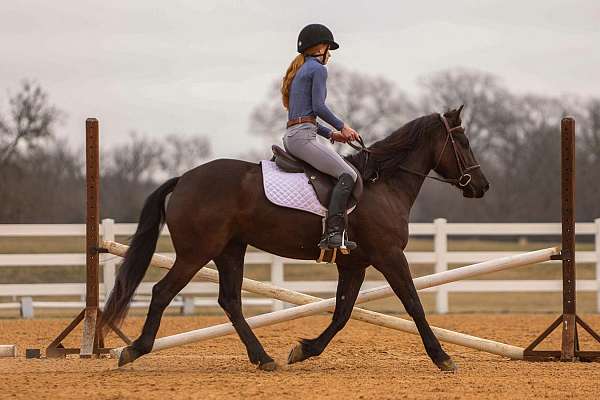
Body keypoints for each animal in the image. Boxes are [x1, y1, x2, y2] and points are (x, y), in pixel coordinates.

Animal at [101, 105, 490, 372]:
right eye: (463, 141)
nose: (482, 186)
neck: (383, 185)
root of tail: (183, 179)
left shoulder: (354, 264)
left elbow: (343, 312)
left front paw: (305, 350)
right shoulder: (390, 255)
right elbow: (413, 304)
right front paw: (442, 357)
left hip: (230, 250)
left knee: (230, 301)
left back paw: (263, 358)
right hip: (196, 252)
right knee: (162, 292)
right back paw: (135, 349)